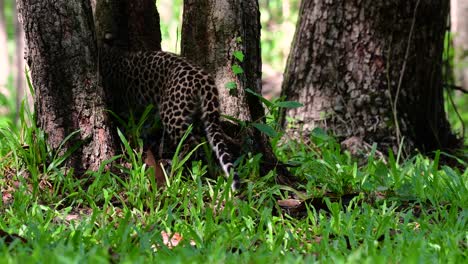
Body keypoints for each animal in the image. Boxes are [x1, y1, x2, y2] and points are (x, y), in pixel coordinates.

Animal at [97, 34, 239, 191]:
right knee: (202, 141)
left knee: (191, 144)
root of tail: (203, 77)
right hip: (200, 115)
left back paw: (175, 167)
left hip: (172, 115)